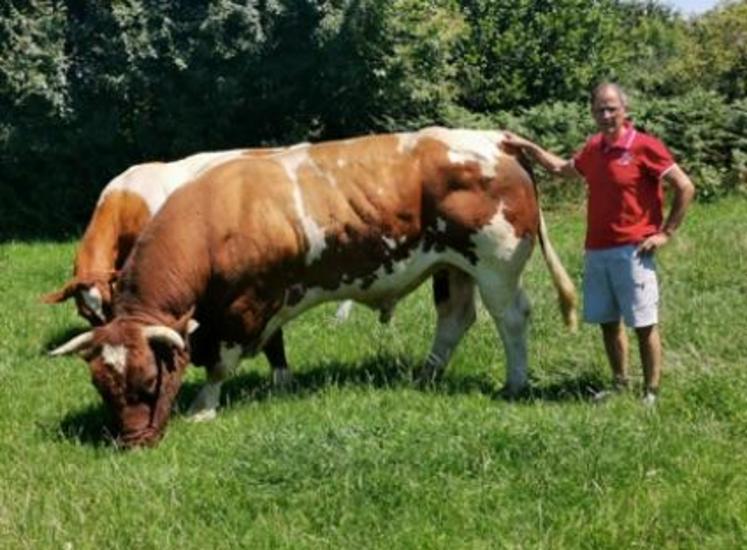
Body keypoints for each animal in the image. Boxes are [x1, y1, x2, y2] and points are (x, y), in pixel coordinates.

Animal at [51, 128, 580, 448]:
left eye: (146, 382)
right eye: (101, 386)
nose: (131, 443)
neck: (214, 216)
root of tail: (493, 138)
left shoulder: (246, 305)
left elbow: (222, 362)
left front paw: (204, 407)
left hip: (496, 264)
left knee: (511, 318)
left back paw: (514, 382)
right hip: (453, 266)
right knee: (455, 319)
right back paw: (426, 375)